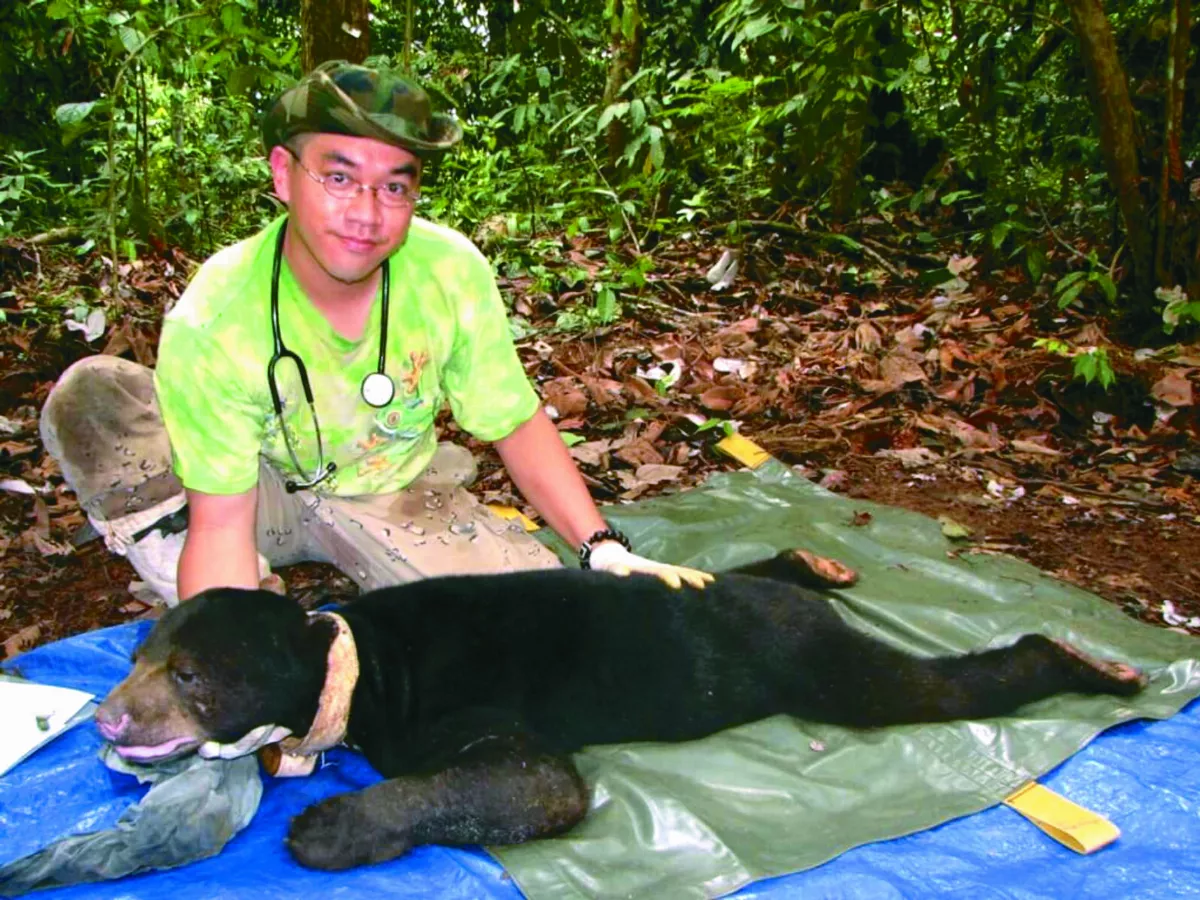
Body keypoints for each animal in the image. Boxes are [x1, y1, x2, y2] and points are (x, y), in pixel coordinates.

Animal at [94, 551, 1147, 871]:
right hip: (734, 592)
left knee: (934, 687)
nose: (108, 722)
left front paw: (330, 825)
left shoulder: (457, 711)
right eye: (135, 658)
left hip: (821, 667)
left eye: (190, 676)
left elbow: (527, 785)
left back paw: (1098, 668)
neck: (350, 661)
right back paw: (815, 561)